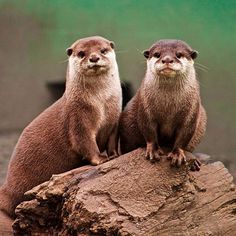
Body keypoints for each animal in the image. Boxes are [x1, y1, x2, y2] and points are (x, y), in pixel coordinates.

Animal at [0, 36, 121, 225]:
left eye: (102, 50)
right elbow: (84, 142)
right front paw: (100, 159)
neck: (101, 103)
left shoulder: (114, 119)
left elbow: (112, 140)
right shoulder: (78, 118)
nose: (94, 58)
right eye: (82, 53)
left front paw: (115, 155)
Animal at [120, 39, 206, 168]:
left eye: (179, 54)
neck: (168, 107)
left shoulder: (191, 112)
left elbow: (184, 134)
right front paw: (153, 151)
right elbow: (149, 130)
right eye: (157, 54)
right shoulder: (145, 107)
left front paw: (177, 154)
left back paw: (195, 162)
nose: (167, 59)